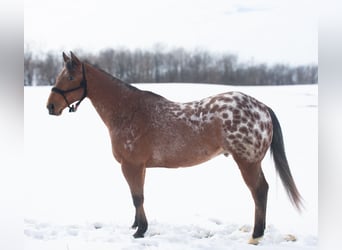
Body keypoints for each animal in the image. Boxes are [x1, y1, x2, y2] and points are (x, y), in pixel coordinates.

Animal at [45, 51, 302, 244]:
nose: (50, 107)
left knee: (259, 191)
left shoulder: (131, 165)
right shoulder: (140, 167)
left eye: (70, 77)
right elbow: (138, 197)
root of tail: (262, 107)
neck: (128, 111)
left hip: (247, 162)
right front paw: (136, 225)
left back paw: (256, 235)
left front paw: (140, 231)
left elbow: (137, 197)